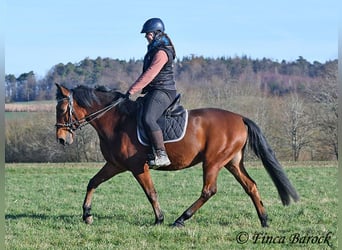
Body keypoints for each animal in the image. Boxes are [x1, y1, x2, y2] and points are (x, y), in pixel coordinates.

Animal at [54, 83, 298, 228]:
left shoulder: (137, 166)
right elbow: (92, 182)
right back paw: (264, 220)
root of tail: (240, 118)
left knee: (209, 190)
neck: (117, 121)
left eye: (62, 109)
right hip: (232, 162)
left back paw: (181, 219)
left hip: (213, 161)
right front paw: (87, 215)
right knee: (251, 186)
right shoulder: (115, 164)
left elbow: (151, 192)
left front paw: (159, 219)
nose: (61, 139)